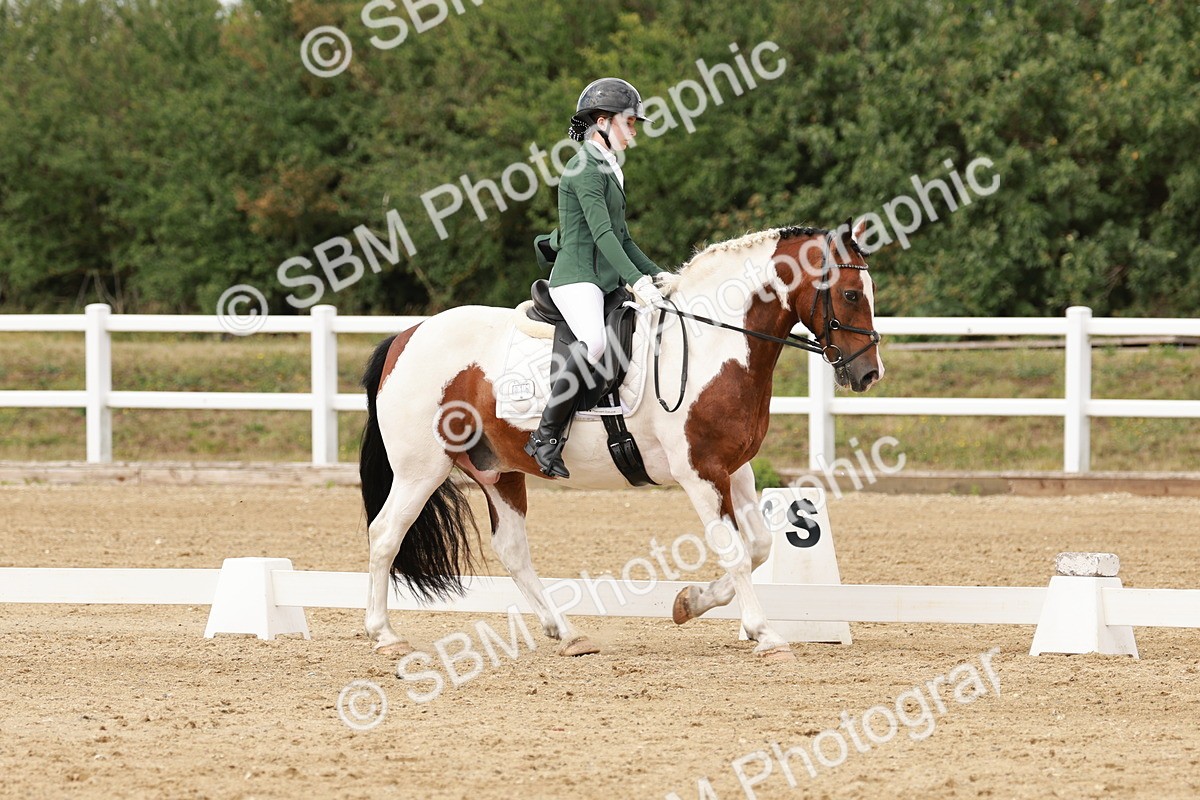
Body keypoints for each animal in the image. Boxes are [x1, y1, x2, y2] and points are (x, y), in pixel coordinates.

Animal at [358, 221, 883, 662]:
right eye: (851, 294)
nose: (868, 374)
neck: (715, 344)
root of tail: (406, 335)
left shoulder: (734, 469)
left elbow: (758, 547)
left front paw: (690, 603)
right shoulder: (700, 472)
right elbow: (735, 551)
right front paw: (766, 634)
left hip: (499, 471)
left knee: (512, 550)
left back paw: (567, 633)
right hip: (422, 469)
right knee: (385, 534)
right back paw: (385, 635)